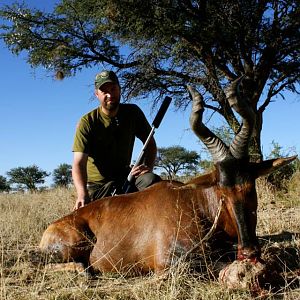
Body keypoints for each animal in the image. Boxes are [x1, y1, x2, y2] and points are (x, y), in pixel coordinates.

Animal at [39, 78, 296, 274]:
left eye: (250, 186)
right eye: (220, 190)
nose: (250, 252)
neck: (195, 202)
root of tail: (49, 230)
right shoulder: (169, 261)